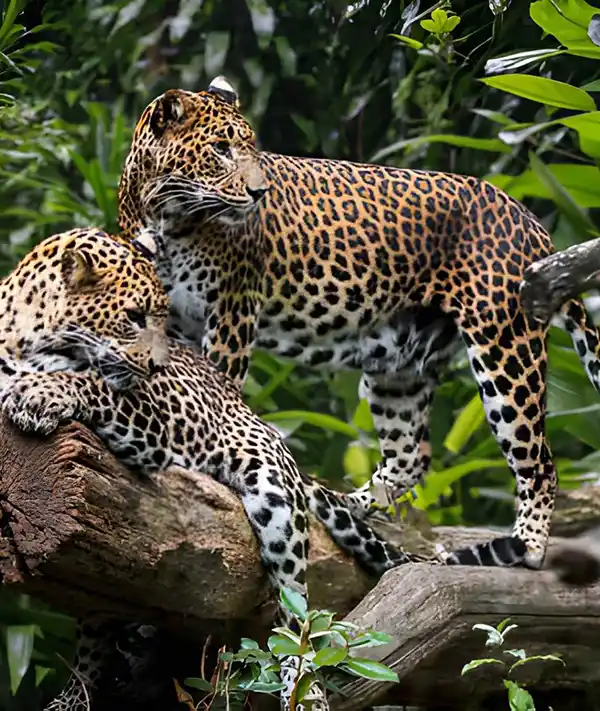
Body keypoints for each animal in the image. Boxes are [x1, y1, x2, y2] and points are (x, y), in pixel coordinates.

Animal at [0, 226, 442, 711]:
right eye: (134, 317)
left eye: (160, 319)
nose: (159, 365)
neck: (31, 339)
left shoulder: (151, 417)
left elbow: (91, 382)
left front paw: (39, 394)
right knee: (100, 619)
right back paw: (74, 696)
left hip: (274, 495)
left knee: (296, 613)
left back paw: (304, 691)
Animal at [116, 75, 600, 573]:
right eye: (221, 149)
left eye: (250, 148)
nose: (259, 193)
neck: (163, 211)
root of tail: (531, 222)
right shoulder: (173, 319)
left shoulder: (232, 311)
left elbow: (220, 390)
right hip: (400, 362)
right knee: (411, 456)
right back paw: (347, 503)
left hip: (503, 342)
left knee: (538, 460)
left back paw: (528, 546)